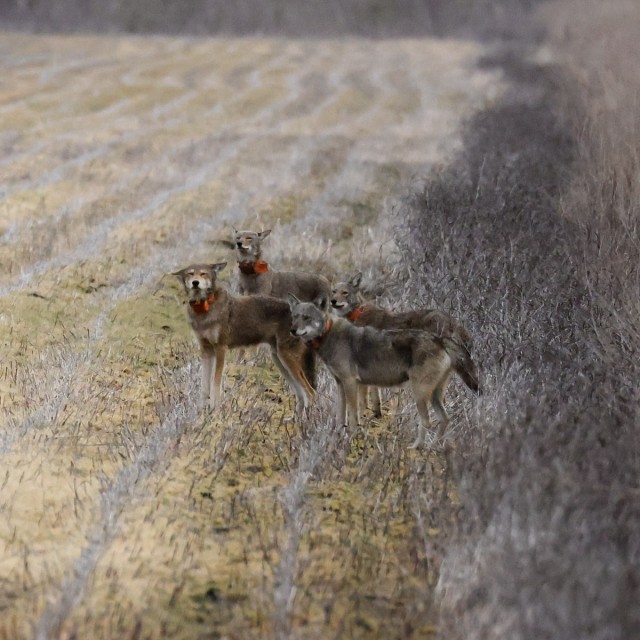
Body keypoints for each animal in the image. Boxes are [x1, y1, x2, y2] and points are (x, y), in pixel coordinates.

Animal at [173, 262, 315, 413]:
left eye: (203, 274)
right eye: (190, 274)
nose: (195, 283)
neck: (204, 310)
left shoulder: (221, 349)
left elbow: (215, 384)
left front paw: (215, 411)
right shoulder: (206, 351)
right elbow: (204, 386)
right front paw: (201, 412)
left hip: (287, 359)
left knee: (310, 393)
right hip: (280, 360)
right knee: (301, 395)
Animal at [288, 294, 472, 447]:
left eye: (306, 317)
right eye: (295, 317)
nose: (292, 330)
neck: (328, 335)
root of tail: (440, 340)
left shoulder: (350, 382)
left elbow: (353, 416)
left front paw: (351, 439)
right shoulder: (340, 383)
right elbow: (340, 417)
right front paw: (337, 439)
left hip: (419, 393)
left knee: (427, 422)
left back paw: (416, 449)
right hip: (433, 394)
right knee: (444, 419)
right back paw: (432, 449)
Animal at [330, 272, 480, 416]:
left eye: (345, 292)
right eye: (334, 291)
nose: (333, 301)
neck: (357, 314)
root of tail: (452, 321)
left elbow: (364, 398)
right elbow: (375, 397)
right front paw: (376, 415)